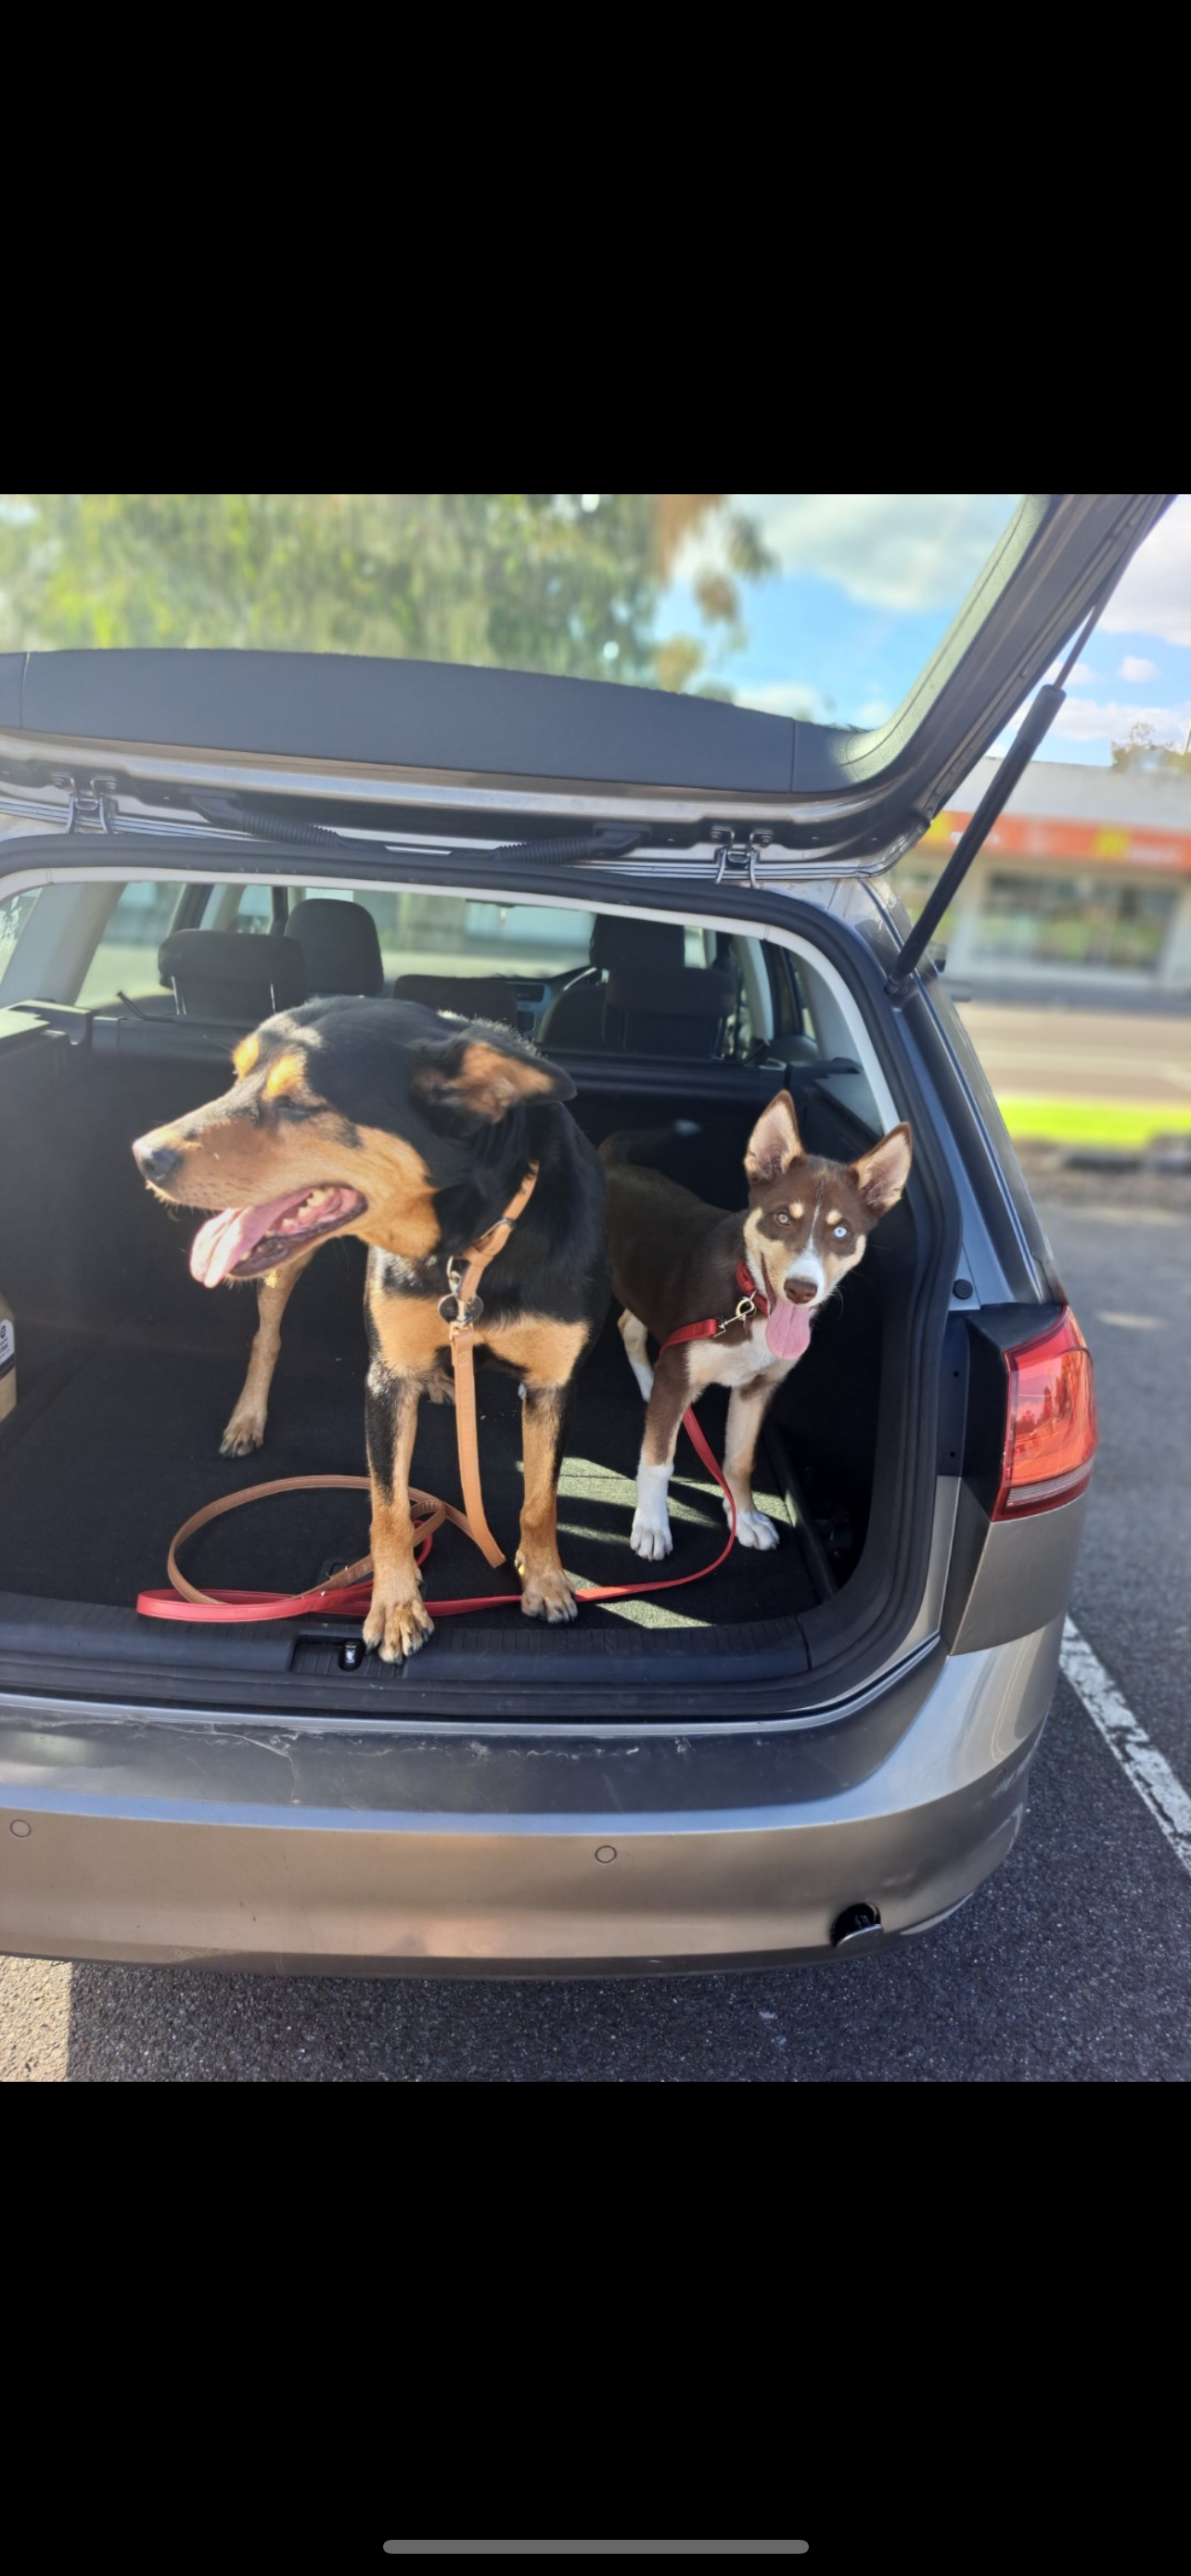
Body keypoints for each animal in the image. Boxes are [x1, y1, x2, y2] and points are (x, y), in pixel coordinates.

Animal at [132, 999, 609, 1659]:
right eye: (235, 1078)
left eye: (299, 1103)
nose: (143, 1155)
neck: (469, 1240)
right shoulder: (386, 1381)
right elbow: (388, 1506)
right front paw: (395, 1607)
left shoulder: (552, 1386)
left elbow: (540, 1500)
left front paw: (544, 1580)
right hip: (286, 1270)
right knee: (267, 1337)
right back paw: (247, 1418)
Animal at [601, 1092, 912, 1561]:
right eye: (782, 1218)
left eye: (841, 1232)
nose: (801, 1289)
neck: (750, 1304)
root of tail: (614, 1164)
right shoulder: (680, 1372)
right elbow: (658, 1461)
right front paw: (652, 1525)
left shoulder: (756, 1388)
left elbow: (739, 1460)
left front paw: (744, 1517)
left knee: (630, 1328)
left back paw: (647, 1383)